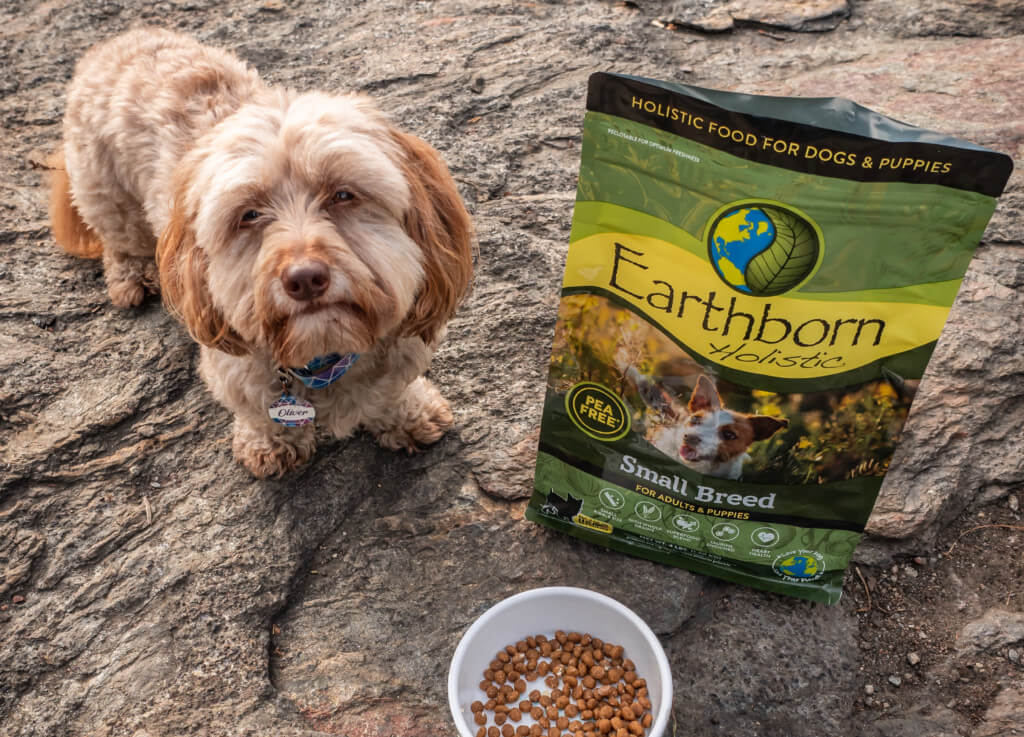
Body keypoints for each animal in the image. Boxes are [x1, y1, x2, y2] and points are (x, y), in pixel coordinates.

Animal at [49, 28, 473, 477]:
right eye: (249, 214)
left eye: (343, 194)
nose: (305, 279)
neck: (323, 354)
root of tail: (121, 38)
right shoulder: (235, 369)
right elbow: (261, 415)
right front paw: (271, 445)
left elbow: (391, 392)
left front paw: (409, 415)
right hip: (105, 193)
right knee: (119, 239)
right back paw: (133, 275)